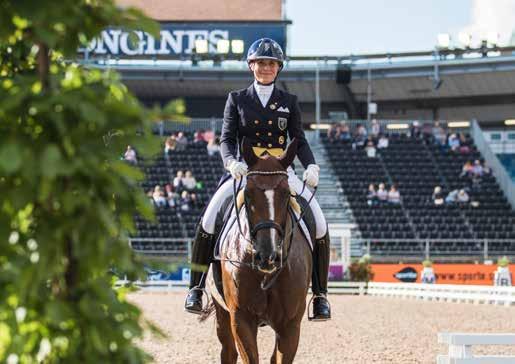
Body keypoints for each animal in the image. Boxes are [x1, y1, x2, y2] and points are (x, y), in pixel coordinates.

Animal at [205, 138, 310, 362]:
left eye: (286, 194)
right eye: (248, 194)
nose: (267, 256)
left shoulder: (290, 326)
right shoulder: (240, 318)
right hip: (223, 313)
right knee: (228, 352)